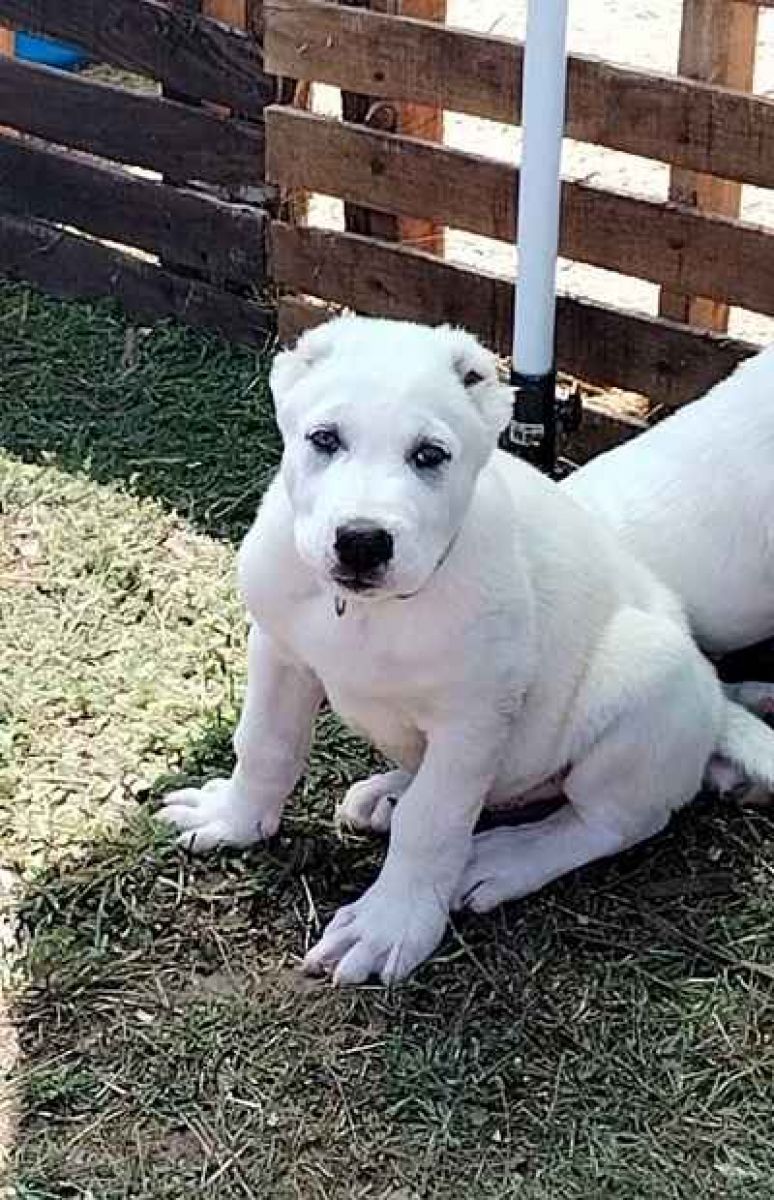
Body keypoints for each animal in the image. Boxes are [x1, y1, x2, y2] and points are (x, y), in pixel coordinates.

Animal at [159, 317, 774, 985]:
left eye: (429, 455)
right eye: (324, 439)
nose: (362, 542)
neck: (370, 613)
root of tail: (714, 699)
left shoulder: (473, 718)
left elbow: (433, 822)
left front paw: (389, 924)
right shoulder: (280, 653)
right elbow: (265, 745)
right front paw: (233, 819)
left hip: (646, 679)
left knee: (608, 820)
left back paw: (502, 859)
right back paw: (390, 792)